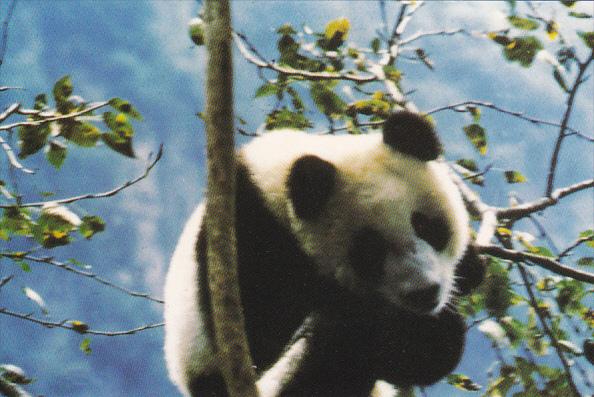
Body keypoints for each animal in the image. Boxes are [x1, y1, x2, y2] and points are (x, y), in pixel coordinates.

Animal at [161, 110, 480, 396]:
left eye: (425, 225)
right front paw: (420, 334)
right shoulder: (251, 242)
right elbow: (258, 339)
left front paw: (470, 268)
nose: (424, 293)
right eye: (370, 251)